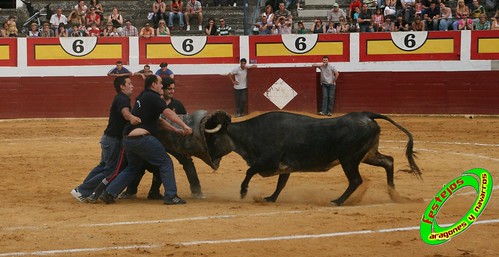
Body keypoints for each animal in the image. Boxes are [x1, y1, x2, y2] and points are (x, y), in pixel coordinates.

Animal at [159, 110, 422, 206]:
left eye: (213, 139)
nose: (212, 160)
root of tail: (367, 115)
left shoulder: (268, 162)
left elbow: (249, 172)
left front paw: (244, 193)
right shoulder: (285, 167)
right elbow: (281, 184)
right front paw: (269, 198)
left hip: (349, 159)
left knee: (356, 180)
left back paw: (337, 201)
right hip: (367, 155)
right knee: (388, 161)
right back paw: (393, 193)